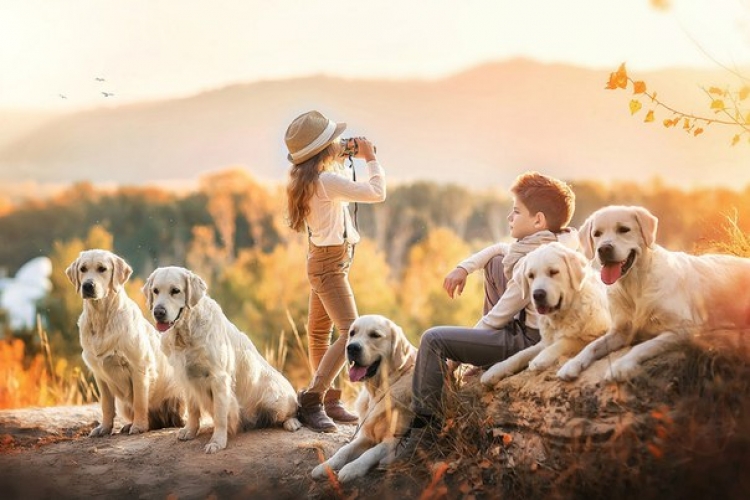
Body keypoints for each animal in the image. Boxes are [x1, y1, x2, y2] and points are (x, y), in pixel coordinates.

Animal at [65, 250, 184, 438]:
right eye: (83, 269)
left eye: (102, 269)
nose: (88, 286)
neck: (102, 317)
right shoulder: (100, 375)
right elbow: (106, 406)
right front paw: (104, 428)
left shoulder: (139, 367)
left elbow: (140, 402)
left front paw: (139, 426)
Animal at [142, 266, 302, 454]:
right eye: (155, 291)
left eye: (175, 290)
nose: (158, 312)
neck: (185, 334)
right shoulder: (185, 377)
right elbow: (193, 408)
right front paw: (190, 431)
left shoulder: (218, 378)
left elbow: (220, 415)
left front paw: (217, 442)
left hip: (274, 398)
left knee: (293, 411)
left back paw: (292, 422)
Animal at [312, 314, 418, 482]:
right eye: (352, 333)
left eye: (375, 335)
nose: (352, 348)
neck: (379, 392)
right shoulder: (366, 435)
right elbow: (344, 450)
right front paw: (326, 466)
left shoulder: (396, 438)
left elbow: (371, 453)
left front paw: (352, 469)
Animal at [482, 242, 612, 386]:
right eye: (530, 275)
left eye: (554, 272)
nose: (538, 294)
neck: (565, 314)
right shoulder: (544, 342)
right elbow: (520, 354)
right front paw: (494, 370)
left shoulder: (598, 333)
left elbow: (566, 341)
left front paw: (540, 359)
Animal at [560, 204, 750, 382]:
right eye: (597, 233)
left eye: (624, 229)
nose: (604, 249)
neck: (636, 285)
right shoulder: (620, 331)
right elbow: (592, 346)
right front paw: (572, 364)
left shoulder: (684, 329)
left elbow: (642, 347)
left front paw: (620, 366)